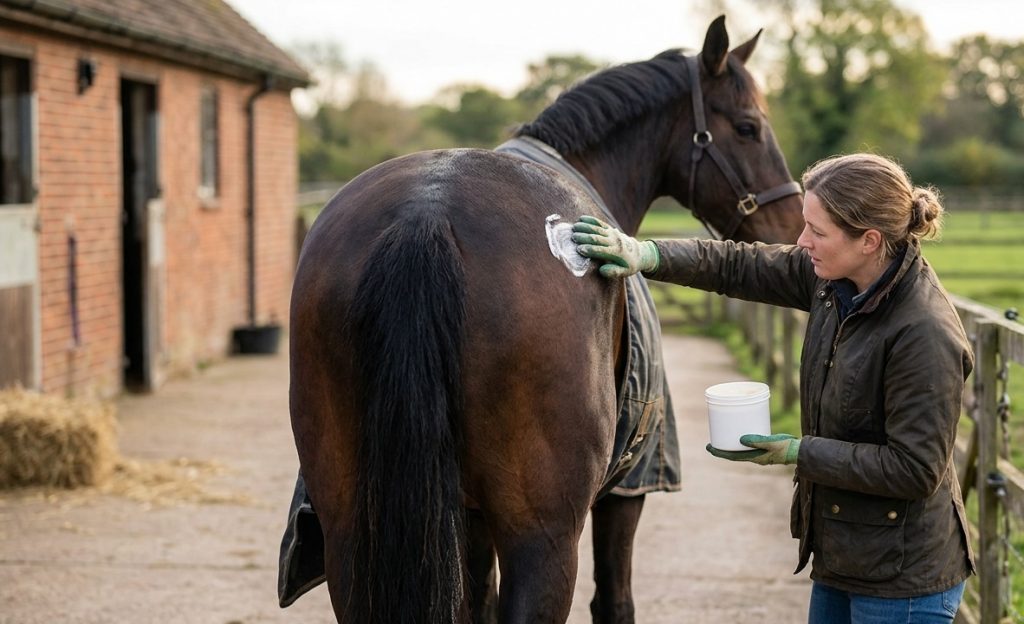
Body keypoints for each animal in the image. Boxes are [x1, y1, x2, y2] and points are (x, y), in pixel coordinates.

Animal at [288, 15, 805, 624]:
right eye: (748, 128)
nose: (793, 226)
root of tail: (426, 214)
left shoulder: (466, 519)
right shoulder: (625, 493)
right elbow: (614, 600)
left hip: (352, 529)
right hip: (544, 535)